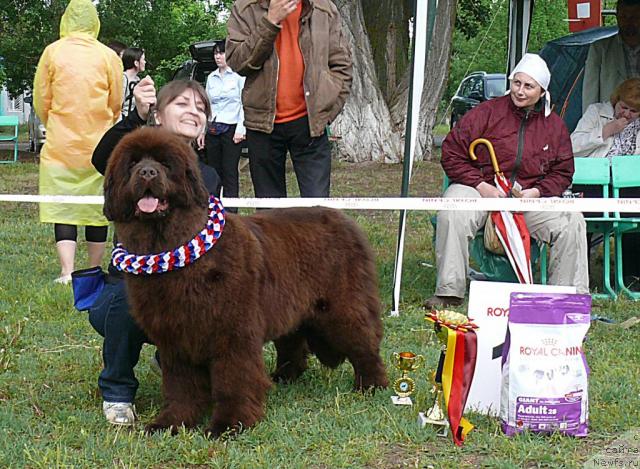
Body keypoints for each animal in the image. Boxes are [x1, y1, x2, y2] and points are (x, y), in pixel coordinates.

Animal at [102, 125, 388, 436]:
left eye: (166, 164)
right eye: (132, 164)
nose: (147, 173)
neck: (170, 245)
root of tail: (345, 219)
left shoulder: (233, 332)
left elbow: (233, 380)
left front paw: (229, 424)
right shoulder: (174, 336)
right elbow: (181, 386)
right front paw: (172, 422)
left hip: (340, 308)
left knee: (364, 343)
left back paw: (372, 385)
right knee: (292, 342)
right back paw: (283, 377)